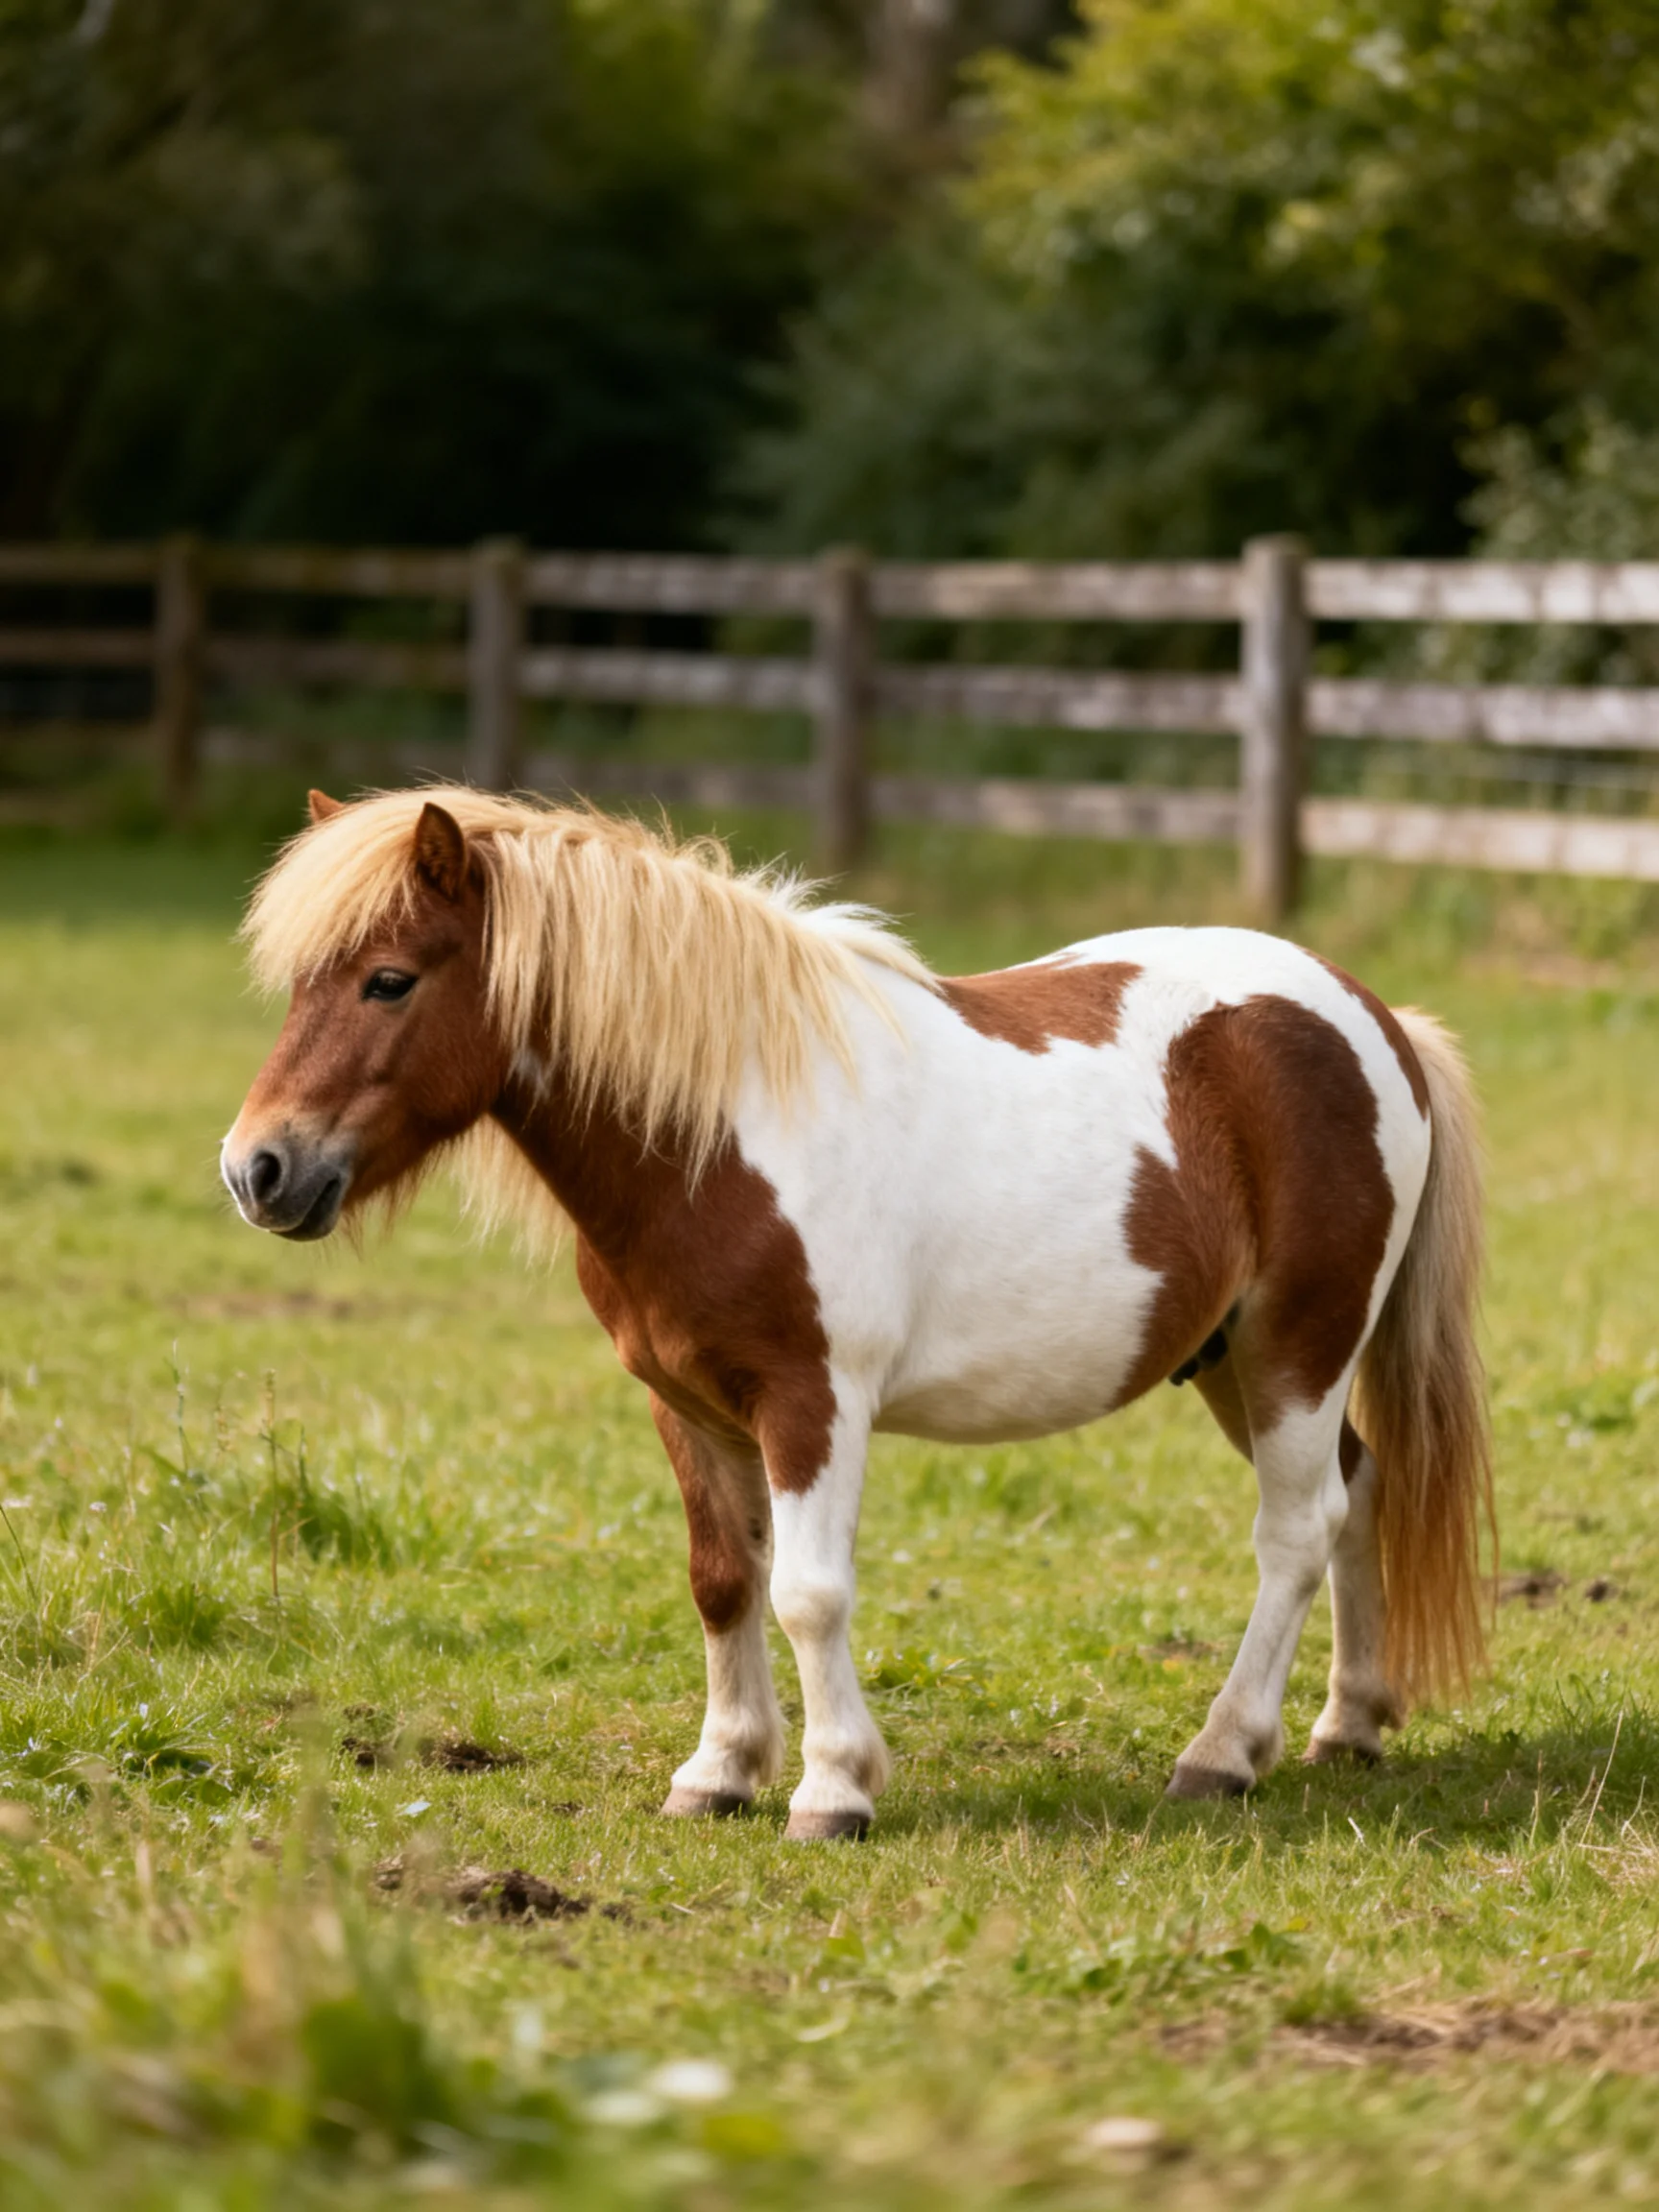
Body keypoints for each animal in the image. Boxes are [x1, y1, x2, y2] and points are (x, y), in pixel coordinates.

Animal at [222, 785, 1492, 1839]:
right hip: (1234, 1359)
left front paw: (832, 1789)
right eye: (299, 986)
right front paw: (719, 1774)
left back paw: (1223, 1753)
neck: (721, 1133)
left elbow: (808, 1592)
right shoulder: (687, 1403)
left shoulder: (811, 1401)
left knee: (1298, 1530)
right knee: (1362, 1487)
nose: (257, 1170)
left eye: (390, 978)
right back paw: (1348, 1725)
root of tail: (1375, 1018)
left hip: (1298, 1348)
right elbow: (723, 1579)